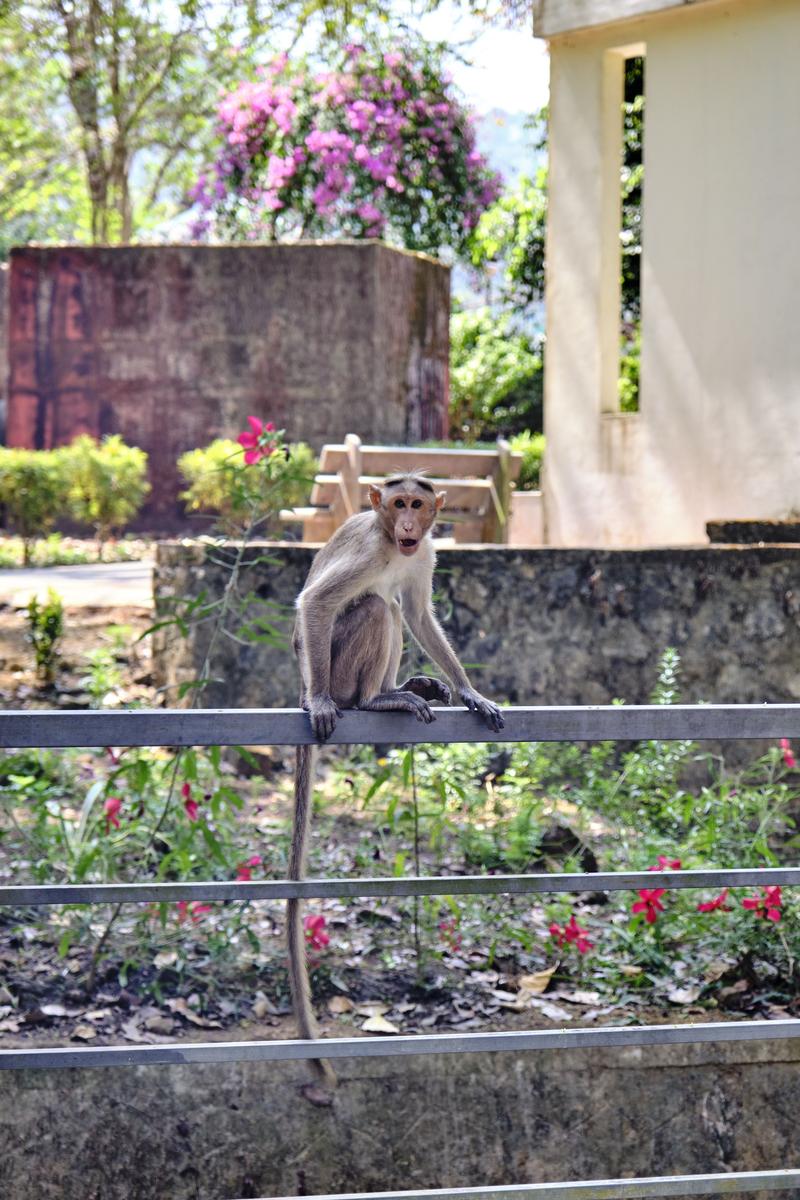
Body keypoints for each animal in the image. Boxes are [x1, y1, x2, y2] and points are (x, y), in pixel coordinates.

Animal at [287, 472, 503, 1094]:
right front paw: (321, 704)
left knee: (394, 610)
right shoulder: (370, 551)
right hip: (332, 663)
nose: (407, 523)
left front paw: (470, 690)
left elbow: (422, 613)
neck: (394, 542)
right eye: (397, 503)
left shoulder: (423, 554)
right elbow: (318, 601)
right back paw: (368, 699)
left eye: (419, 504)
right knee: (373, 608)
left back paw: (407, 687)